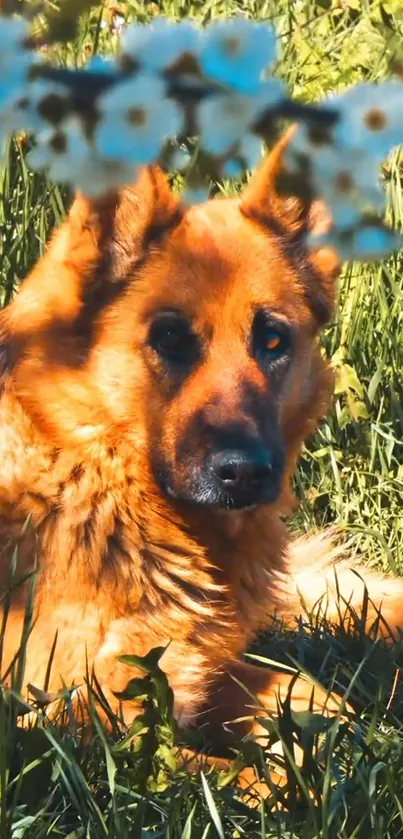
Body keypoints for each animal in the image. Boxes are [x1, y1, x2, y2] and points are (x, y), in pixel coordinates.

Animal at [0, 131, 403, 756]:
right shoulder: (71, 725)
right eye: (169, 339)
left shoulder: (205, 675)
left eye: (272, 340)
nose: (247, 473)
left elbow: (314, 696)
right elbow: (238, 767)